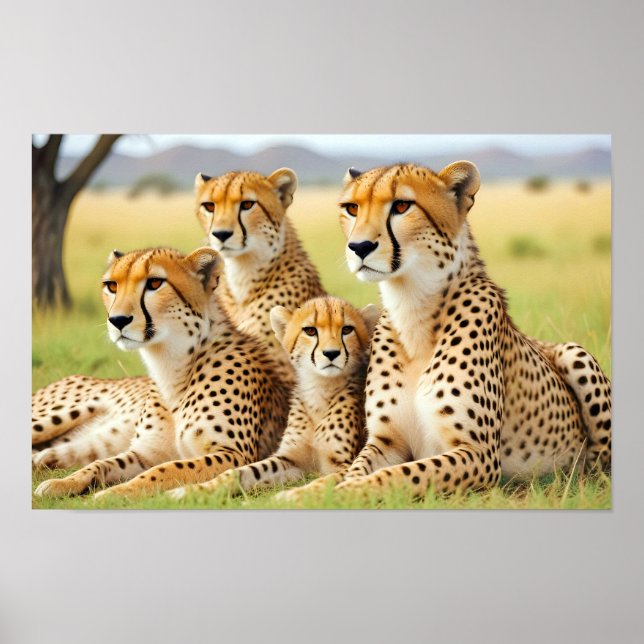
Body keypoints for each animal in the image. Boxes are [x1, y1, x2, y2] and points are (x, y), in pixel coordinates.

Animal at [35, 246, 290, 498]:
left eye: (155, 283)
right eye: (112, 286)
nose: (117, 320)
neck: (172, 366)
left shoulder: (233, 454)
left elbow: (164, 469)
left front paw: (115, 492)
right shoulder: (145, 452)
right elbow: (101, 463)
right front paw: (63, 482)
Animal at [167, 296, 377, 501]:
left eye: (347, 329)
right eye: (310, 331)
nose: (331, 353)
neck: (319, 390)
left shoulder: (343, 464)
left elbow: (323, 483)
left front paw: (292, 496)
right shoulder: (289, 460)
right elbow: (237, 472)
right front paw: (191, 490)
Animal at [327, 161, 611, 499]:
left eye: (402, 206)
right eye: (352, 208)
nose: (359, 247)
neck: (411, 306)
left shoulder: (479, 454)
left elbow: (394, 476)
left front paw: (335, 494)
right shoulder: (386, 442)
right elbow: (354, 470)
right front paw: (310, 492)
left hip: (575, 355)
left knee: (598, 465)